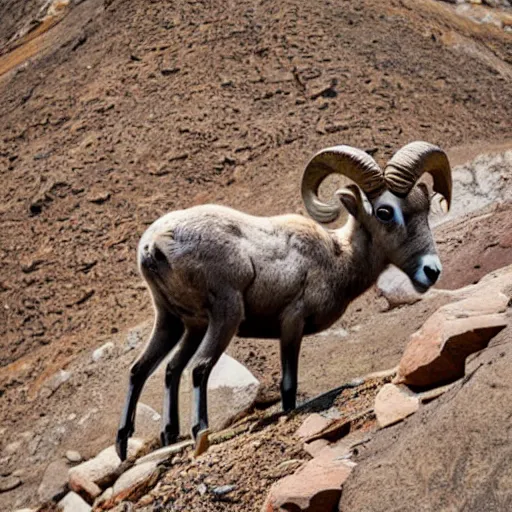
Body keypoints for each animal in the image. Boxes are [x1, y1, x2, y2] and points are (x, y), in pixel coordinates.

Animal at [116, 140, 452, 460]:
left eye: (424, 210)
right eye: (385, 212)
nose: (431, 271)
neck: (336, 257)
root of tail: (154, 245)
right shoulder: (292, 324)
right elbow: (288, 387)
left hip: (178, 322)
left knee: (150, 369)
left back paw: (142, 441)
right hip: (224, 315)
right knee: (198, 367)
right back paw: (200, 433)